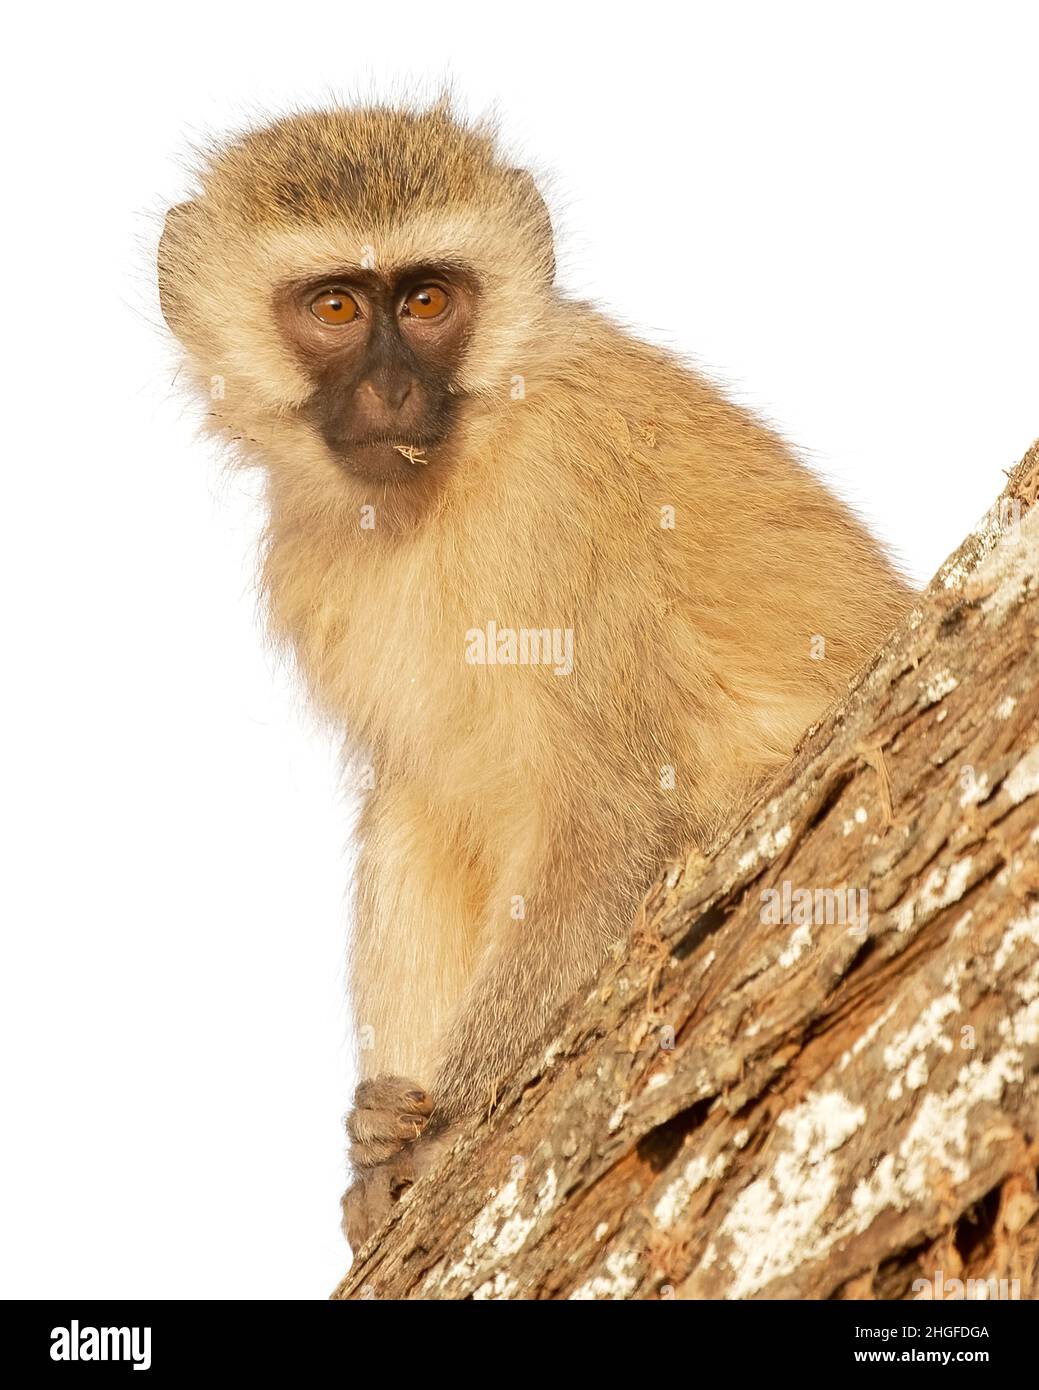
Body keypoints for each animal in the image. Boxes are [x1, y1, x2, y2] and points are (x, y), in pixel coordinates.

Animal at [154, 100, 912, 1251]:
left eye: (427, 300)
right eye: (335, 307)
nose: (391, 388)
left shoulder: (553, 498)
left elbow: (610, 814)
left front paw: (436, 1132)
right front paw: (384, 1142)